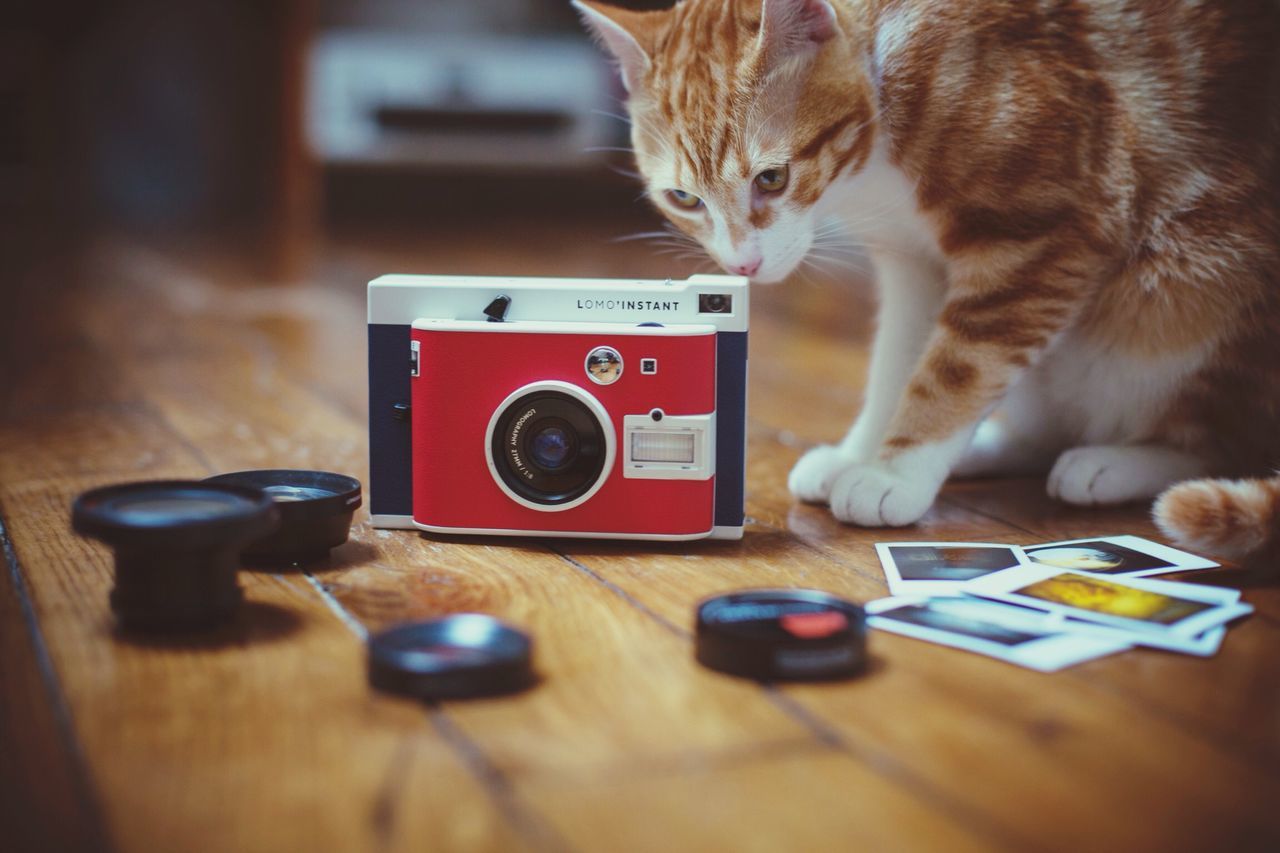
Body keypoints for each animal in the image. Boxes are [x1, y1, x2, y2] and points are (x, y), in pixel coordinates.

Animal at [581, 0, 1280, 558]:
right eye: (684, 198)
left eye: (772, 179)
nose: (743, 266)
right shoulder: (912, 263)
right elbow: (898, 363)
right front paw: (864, 453)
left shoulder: (1048, 237)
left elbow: (958, 368)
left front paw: (895, 473)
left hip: (1190, 290)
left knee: (1215, 435)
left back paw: (1115, 462)